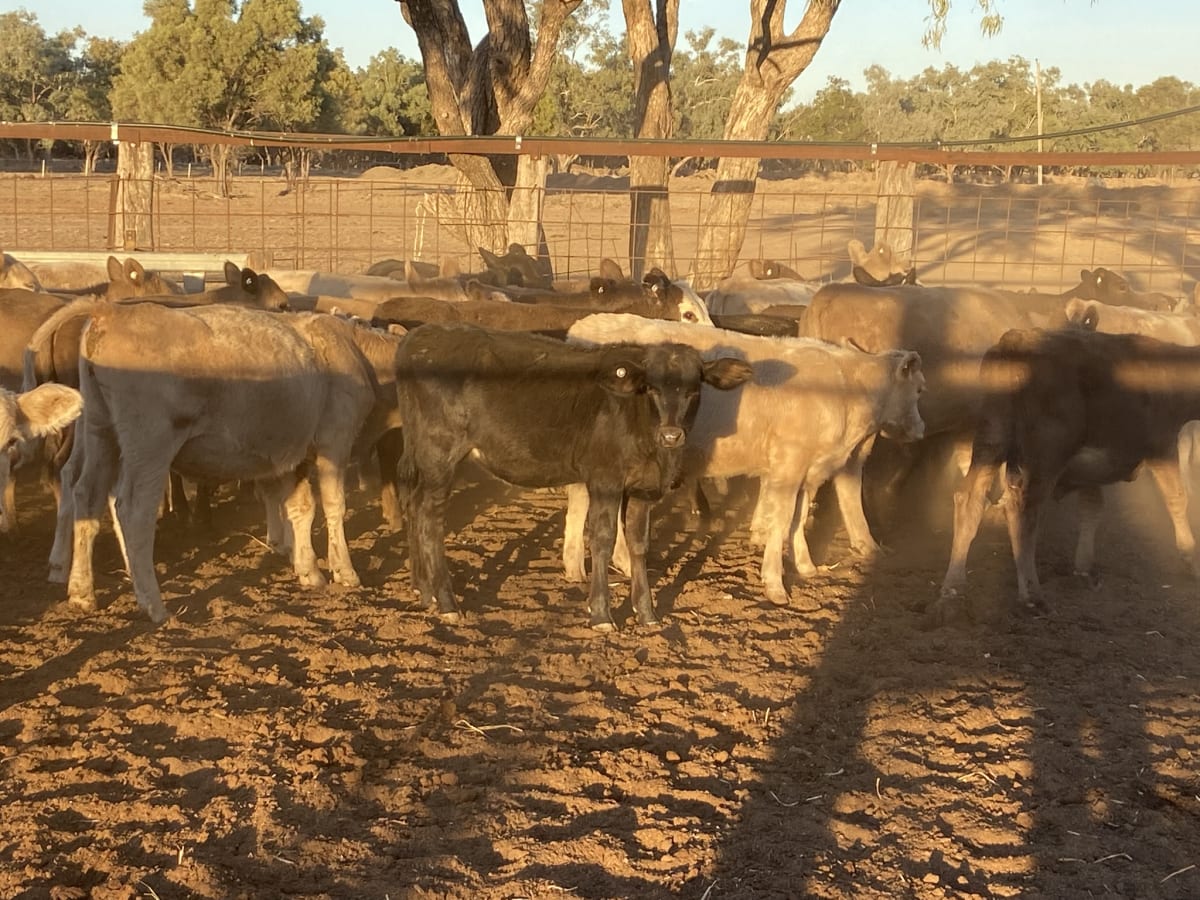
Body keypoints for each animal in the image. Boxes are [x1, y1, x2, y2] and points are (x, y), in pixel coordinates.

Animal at [43, 301, 389, 623]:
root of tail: (110, 313)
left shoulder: (296, 452)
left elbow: (301, 508)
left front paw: (309, 570)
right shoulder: (335, 439)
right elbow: (333, 505)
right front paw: (344, 571)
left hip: (100, 430)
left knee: (86, 496)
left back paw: (81, 592)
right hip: (150, 444)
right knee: (133, 511)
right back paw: (153, 605)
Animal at [395, 323, 752, 631]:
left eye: (694, 390)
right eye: (651, 388)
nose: (671, 435)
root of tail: (422, 335)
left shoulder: (643, 489)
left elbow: (639, 544)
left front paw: (647, 612)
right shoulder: (605, 480)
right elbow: (603, 539)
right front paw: (601, 614)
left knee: (413, 505)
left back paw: (424, 591)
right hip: (439, 455)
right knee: (430, 517)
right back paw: (446, 602)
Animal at [564, 314, 925, 604]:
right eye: (919, 389)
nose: (921, 430)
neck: (846, 390)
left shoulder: (807, 471)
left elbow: (798, 517)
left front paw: (806, 566)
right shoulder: (787, 467)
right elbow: (782, 520)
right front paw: (775, 584)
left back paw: (597, 566)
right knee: (583, 504)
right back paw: (586, 565)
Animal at [936, 326, 1200, 621]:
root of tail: (1017, 339)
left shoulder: (1091, 468)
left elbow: (1092, 507)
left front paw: (1083, 567)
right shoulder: (1161, 445)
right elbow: (1177, 498)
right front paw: (1190, 558)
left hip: (992, 439)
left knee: (969, 499)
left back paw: (952, 592)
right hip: (1046, 454)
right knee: (1023, 511)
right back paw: (1032, 595)